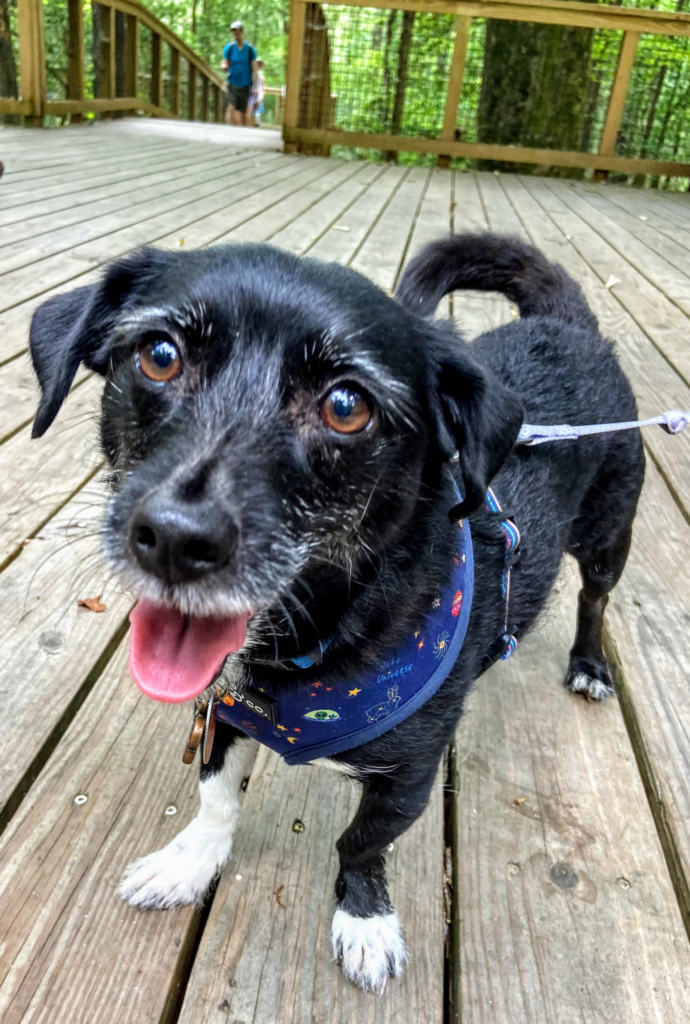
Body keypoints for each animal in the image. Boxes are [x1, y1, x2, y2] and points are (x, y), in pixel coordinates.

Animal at [28, 234, 647, 991]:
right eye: (159, 355)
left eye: (347, 405)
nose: (175, 539)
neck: (311, 649)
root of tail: (566, 326)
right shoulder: (221, 717)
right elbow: (216, 798)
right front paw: (189, 862)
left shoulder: (409, 777)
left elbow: (361, 842)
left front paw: (365, 920)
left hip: (607, 535)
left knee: (594, 599)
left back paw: (588, 664)